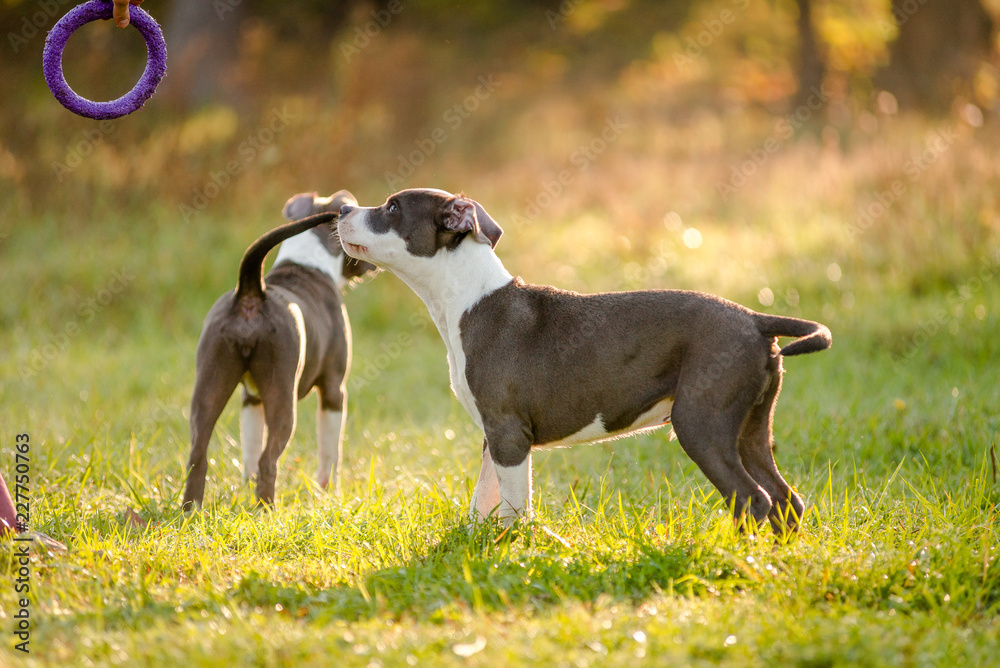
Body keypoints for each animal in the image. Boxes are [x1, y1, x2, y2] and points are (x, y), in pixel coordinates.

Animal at [183, 190, 376, 508]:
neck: (307, 260)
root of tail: (250, 293)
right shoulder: (334, 390)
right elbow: (331, 451)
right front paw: (330, 493)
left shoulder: (251, 399)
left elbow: (249, 447)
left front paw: (244, 488)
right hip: (282, 396)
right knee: (269, 459)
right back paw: (266, 509)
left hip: (209, 385)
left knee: (199, 454)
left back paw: (192, 509)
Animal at [340, 188, 832, 532]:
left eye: (392, 208)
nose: (341, 210)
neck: (465, 298)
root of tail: (755, 319)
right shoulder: (492, 436)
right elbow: (484, 500)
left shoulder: (509, 435)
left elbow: (515, 506)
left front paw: (512, 549)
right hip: (749, 428)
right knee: (785, 499)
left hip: (702, 424)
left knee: (752, 500)